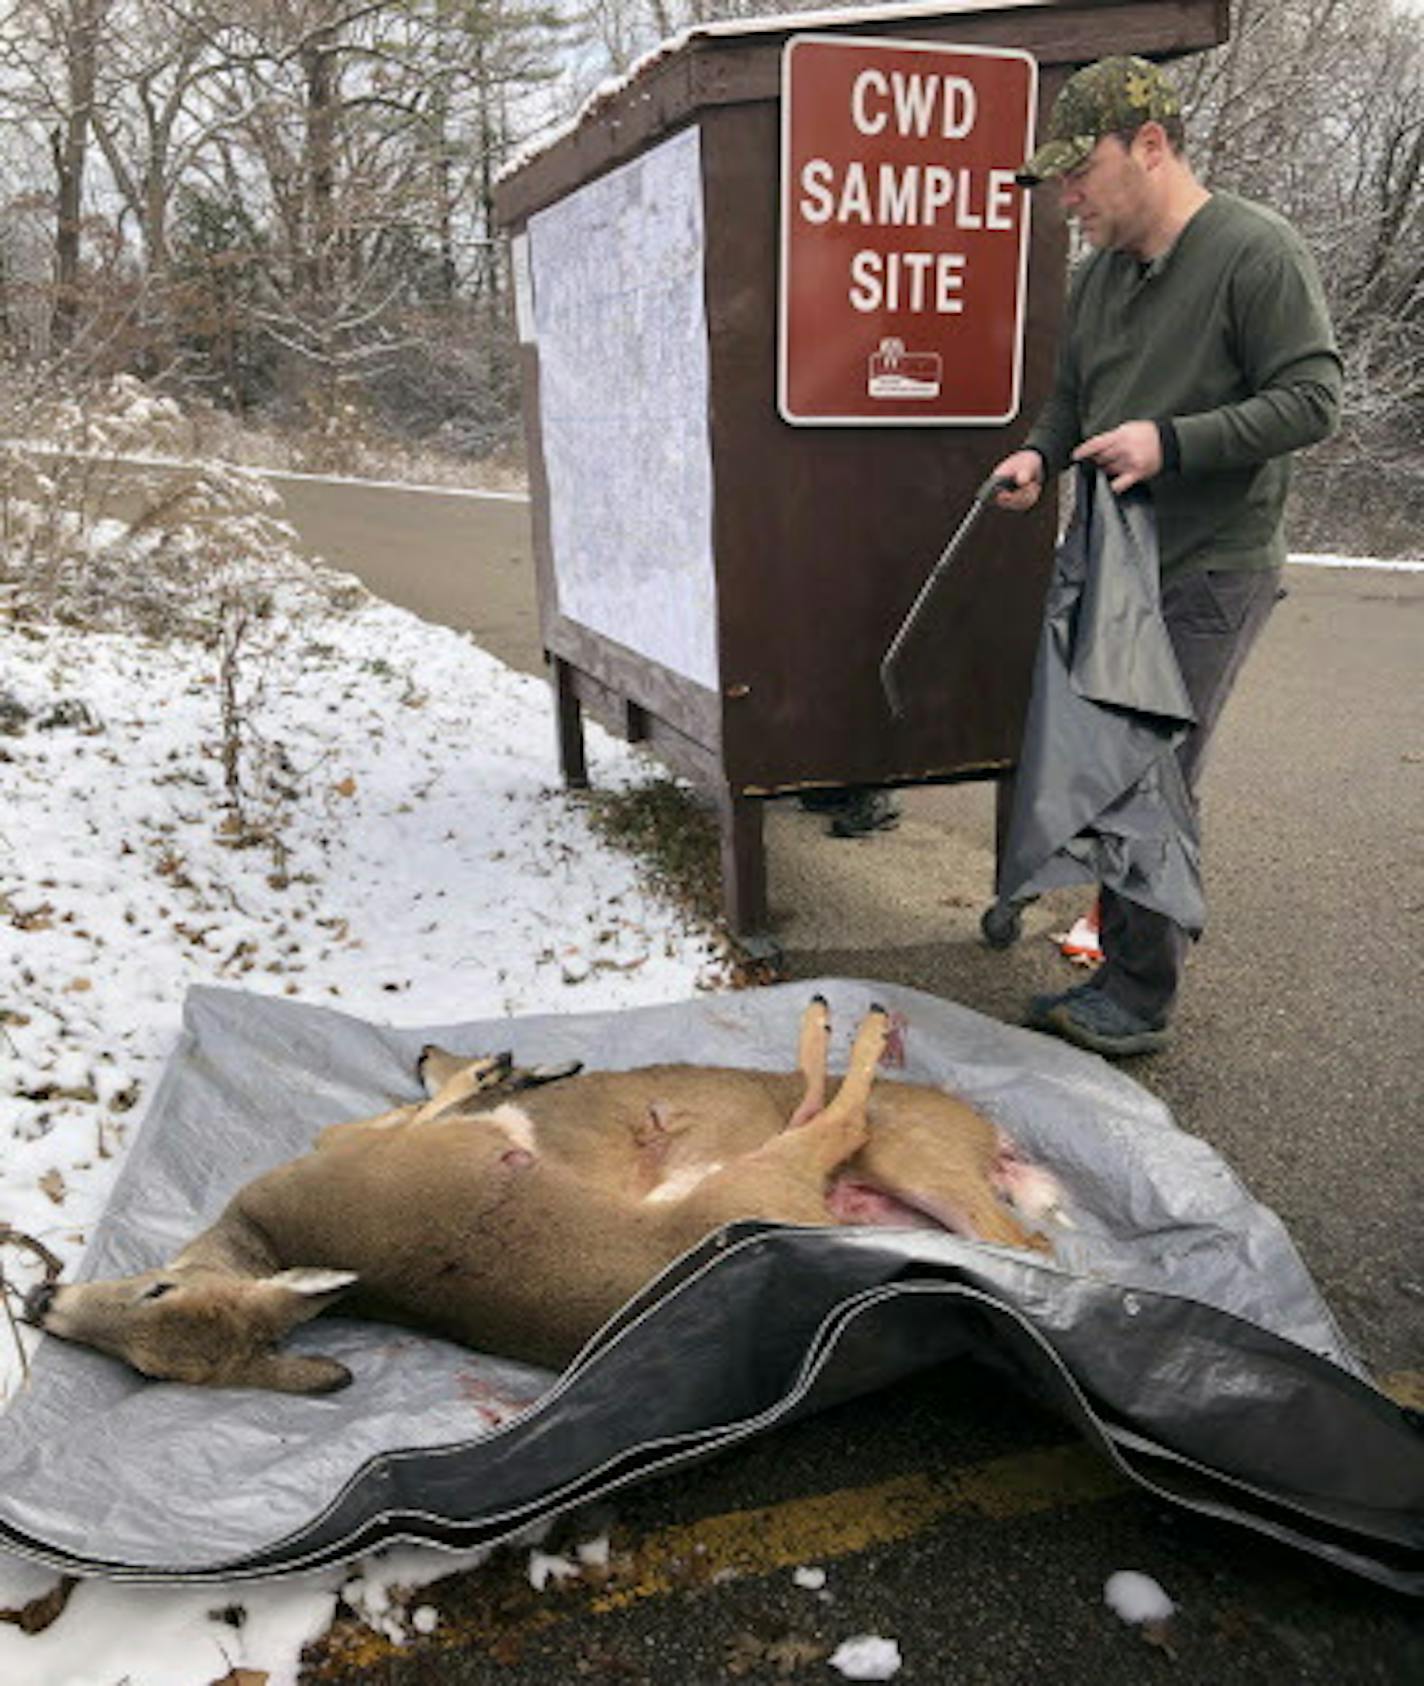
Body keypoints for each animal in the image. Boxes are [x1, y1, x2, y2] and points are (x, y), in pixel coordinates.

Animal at [24, 1004, 1058, 1389]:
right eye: (145, 1365)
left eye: (157, 1289)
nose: (37, 1299)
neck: (274, 1233)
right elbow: (430, 1108)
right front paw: (491, 1072)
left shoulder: (357, 1147)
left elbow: (418, 1107)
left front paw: (488, 1068)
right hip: (771, 1178)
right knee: (826, 1119)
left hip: (828, 1168)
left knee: (846, 1120)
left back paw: (852, 1019)